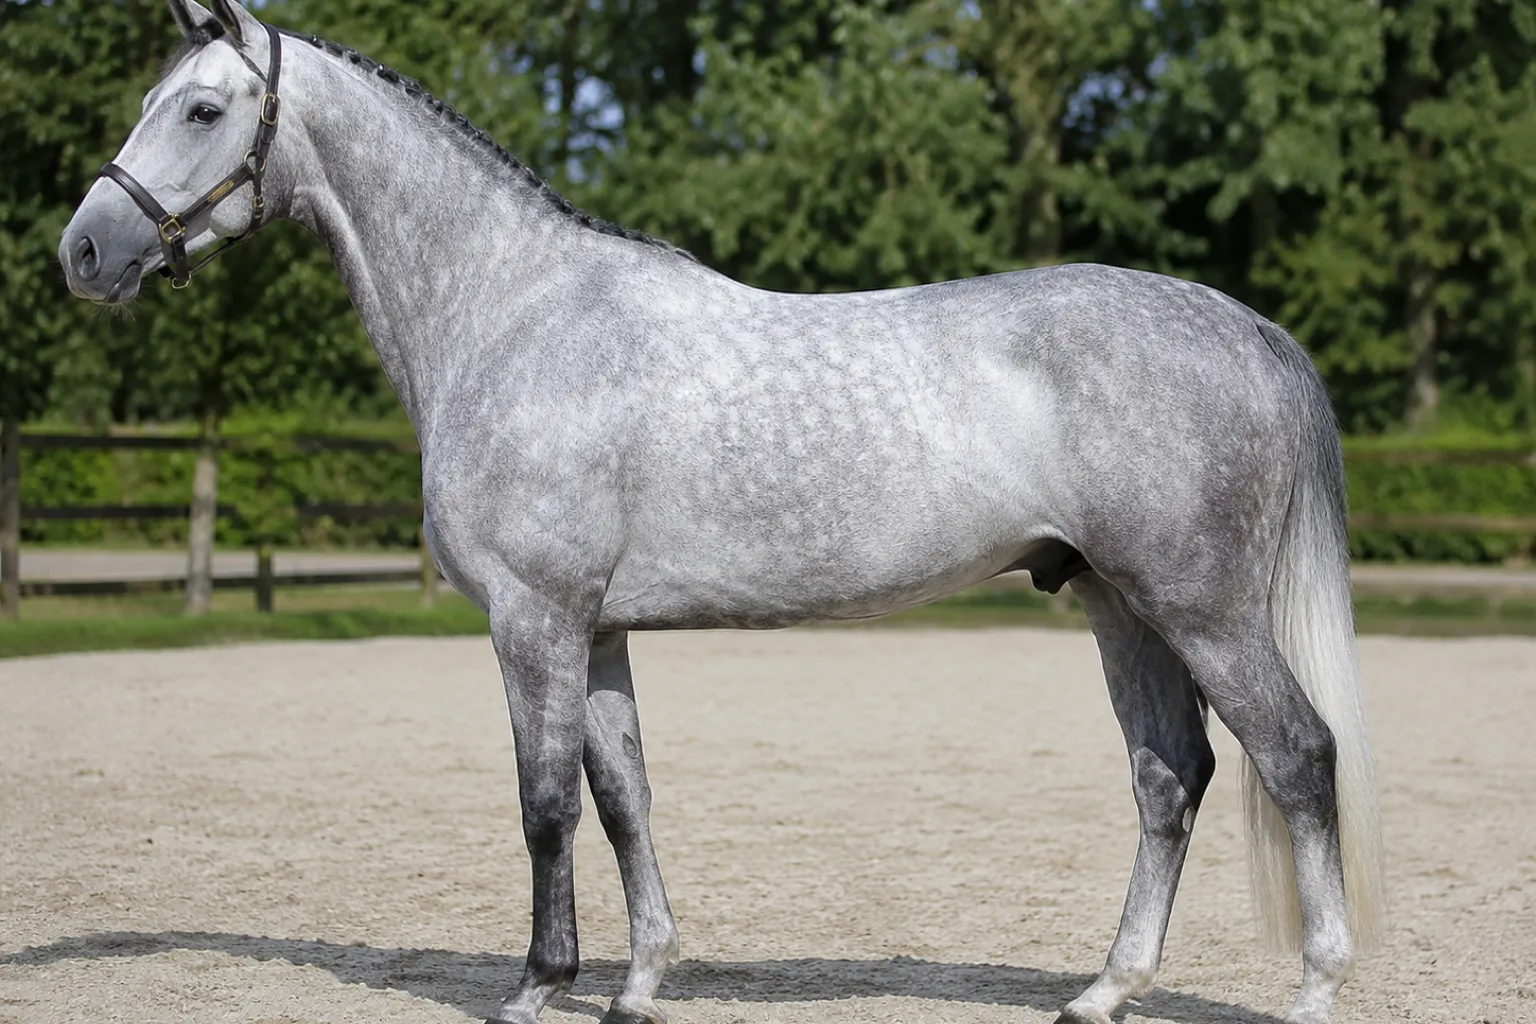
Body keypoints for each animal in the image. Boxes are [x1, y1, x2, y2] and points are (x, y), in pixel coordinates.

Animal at [58, 3, 1385, 1022]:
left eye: (203, 111)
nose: (84, 251)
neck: (515, 313)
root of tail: (1244, 325)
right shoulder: (596, 630)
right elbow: (622, 796)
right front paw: (639, 983)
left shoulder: (534, 620)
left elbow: (543, 803)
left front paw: (537, 986)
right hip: (1121, 605)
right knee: (1171, 779)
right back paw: (1104, 990)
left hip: (1200, 610)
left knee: (1297, 755)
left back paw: (1315, 988)